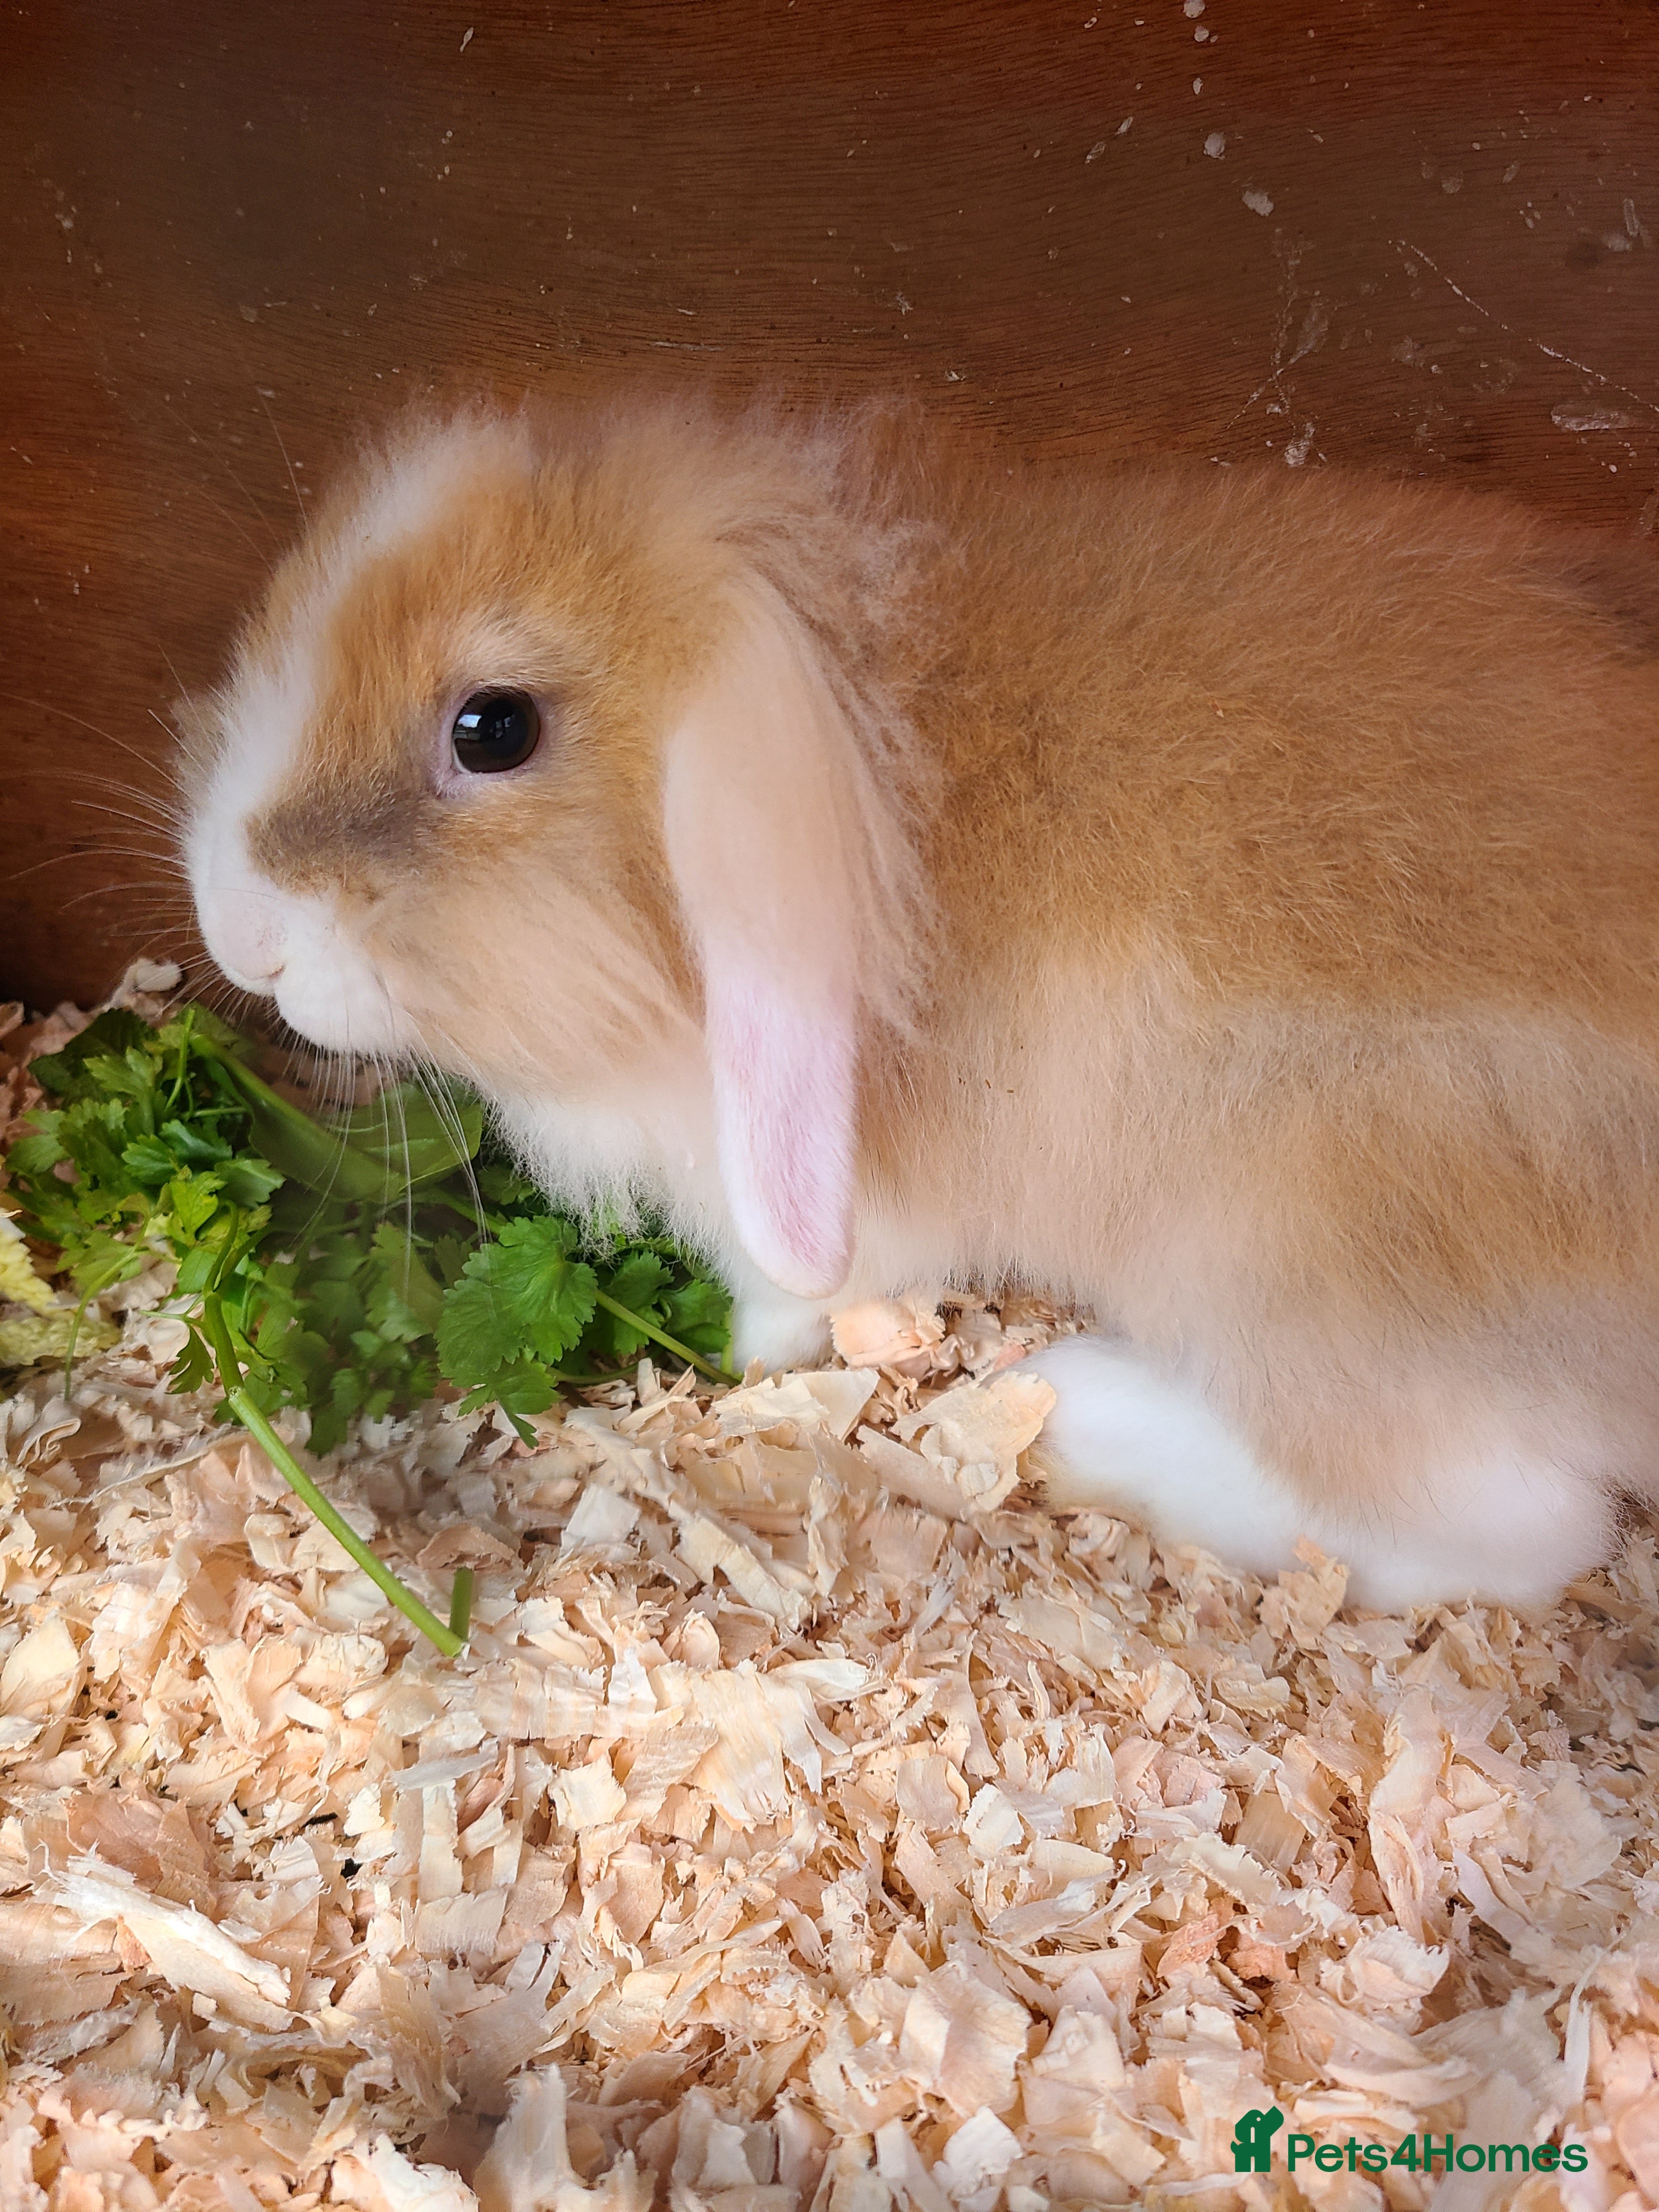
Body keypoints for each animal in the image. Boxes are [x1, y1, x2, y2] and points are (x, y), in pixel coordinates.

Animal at [182, 393, 1659, 1611]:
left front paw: (753, 1349)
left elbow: (806, 1282)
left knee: (1509, 1532)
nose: (239, 935)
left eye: (493, 728)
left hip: (1303, 1275)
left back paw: (1078, 1407)